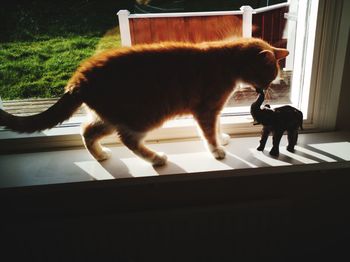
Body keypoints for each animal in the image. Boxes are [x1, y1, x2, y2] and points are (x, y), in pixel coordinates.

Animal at [0, 37, 288, 166]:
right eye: (269, 75)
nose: (267, 88)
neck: (225, 60)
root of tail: (78, 79)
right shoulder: (206, 109)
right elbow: (208, 132)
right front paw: (216, 149)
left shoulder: (214, 109)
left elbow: (216, 127)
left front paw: (222, 137)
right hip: (144, 115)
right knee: (128, 139)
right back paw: (156, 158)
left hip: (109, 116)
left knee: (87, 130)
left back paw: (101, 155)